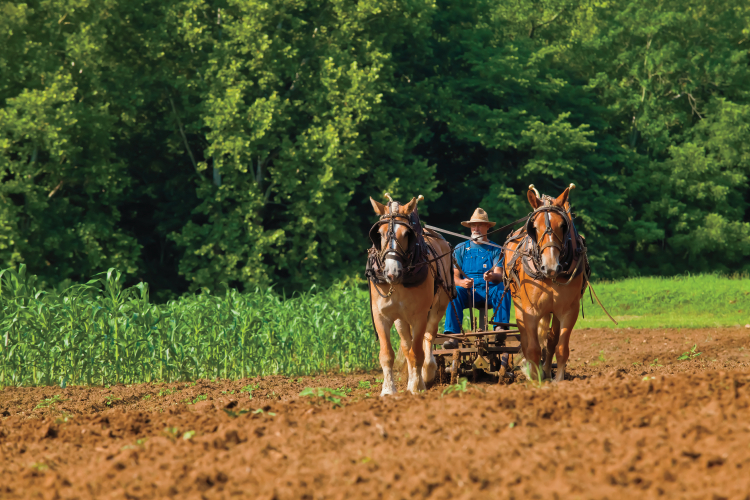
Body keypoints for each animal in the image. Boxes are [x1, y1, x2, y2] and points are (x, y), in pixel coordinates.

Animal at [367, 194, 454, 395]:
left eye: (407, 234)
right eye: (379, 234)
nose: (391, 272)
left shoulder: (419, 316)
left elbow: (417, 353)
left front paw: (417, 387)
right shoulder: (380, 316)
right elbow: (387, 354)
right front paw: (388, 390)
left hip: (437, 308)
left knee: (428, 337)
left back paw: (426, 373)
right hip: (401, 319)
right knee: (407, 346)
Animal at [503, 184, 590, 382]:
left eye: (563, 226)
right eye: (534, 227)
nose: (550, 266)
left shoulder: (568, 311)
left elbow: (560, 347)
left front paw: (557, 380)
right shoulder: (530, 310)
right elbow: (533, 348)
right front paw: (535, 379)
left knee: (551, 340)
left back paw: (547, 371)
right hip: (519, 305)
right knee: (526, 340)